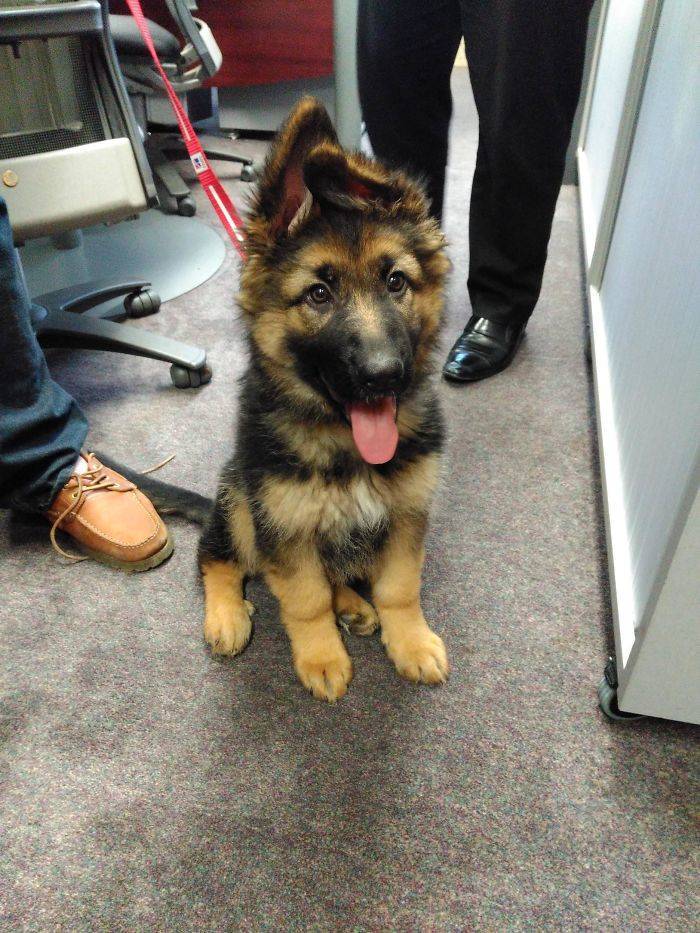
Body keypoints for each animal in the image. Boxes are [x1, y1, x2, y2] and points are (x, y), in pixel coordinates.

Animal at [197, 100, 448, 700]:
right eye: (318, 294)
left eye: (396, 282)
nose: (384, 377)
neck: (346, 445)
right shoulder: (284, 524)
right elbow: (304, 597)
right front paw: (320, 657)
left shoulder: (406, 514)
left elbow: (400, 587)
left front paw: (410, 642)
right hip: (240, 499)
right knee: (217, 557)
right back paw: (226, 614)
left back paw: (354, 605)